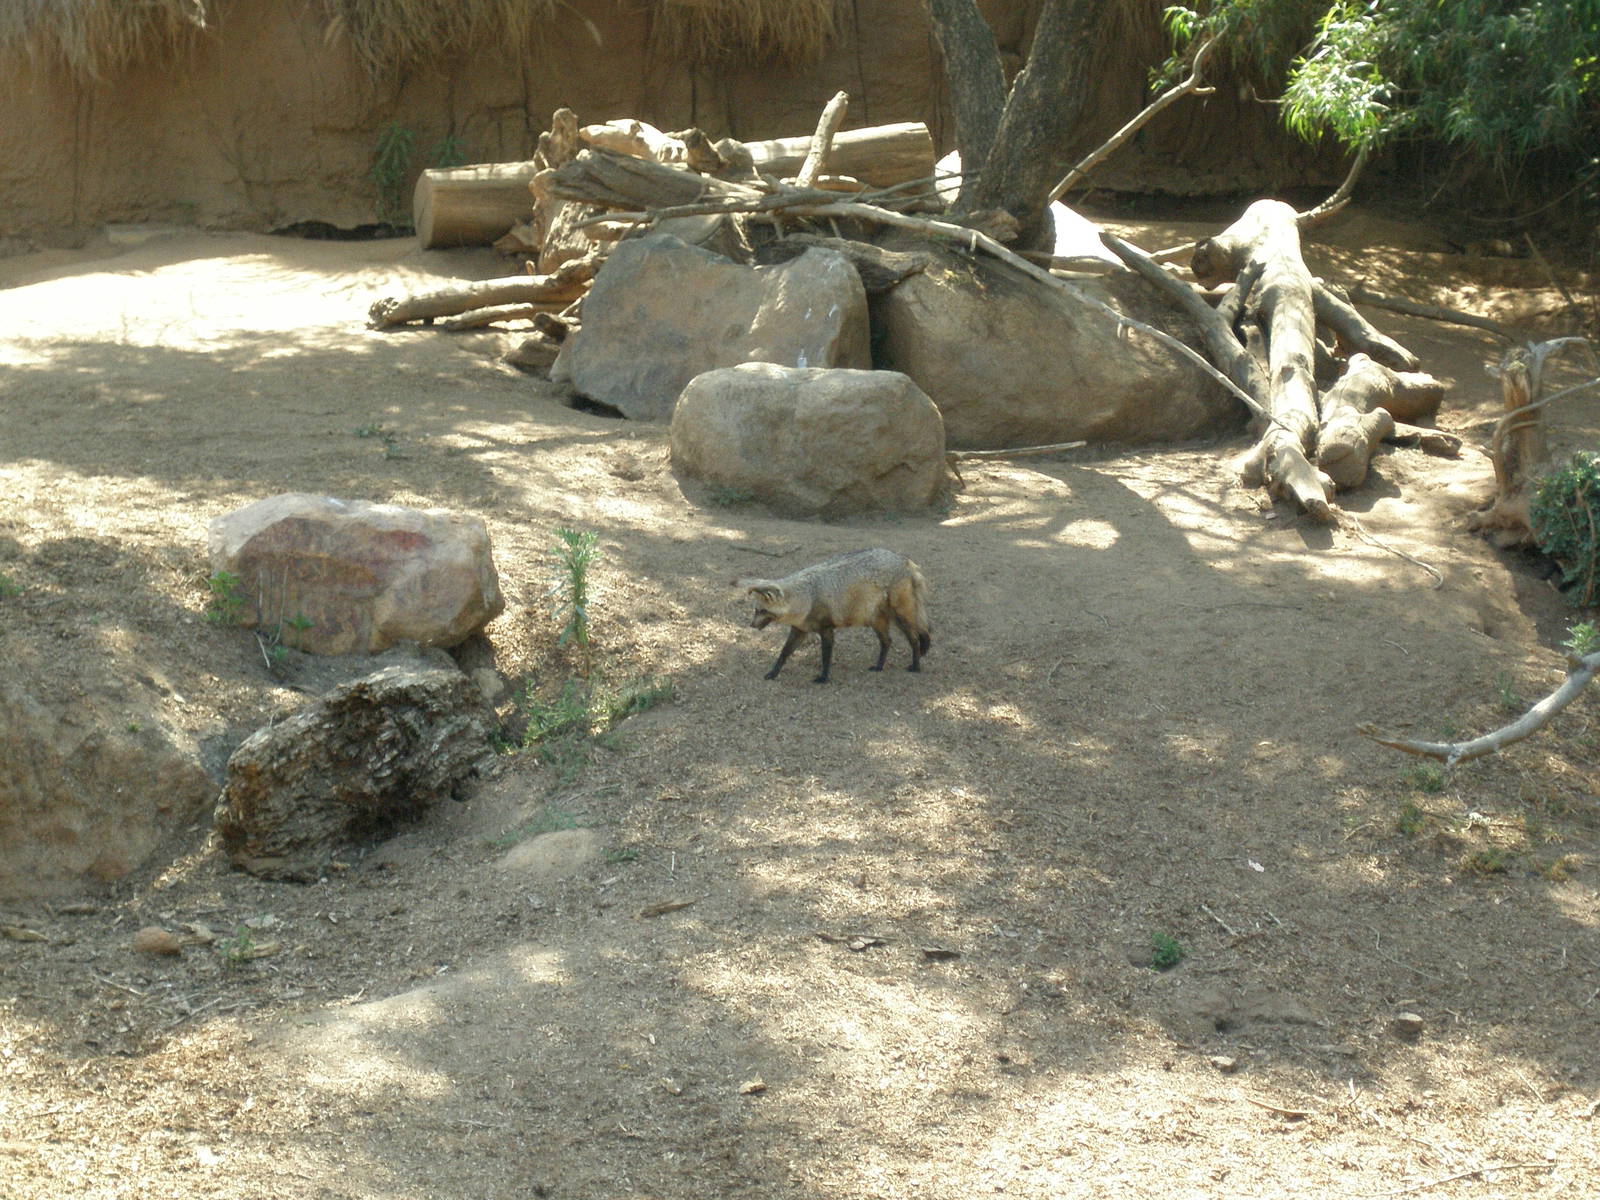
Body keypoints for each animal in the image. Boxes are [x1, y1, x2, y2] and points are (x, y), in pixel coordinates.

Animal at [738, 548, 931, 684]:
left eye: (762, 611)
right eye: (756, 610)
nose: (751, 625)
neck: (808, 596)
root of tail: (905, 560)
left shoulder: (826, 630)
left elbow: (825, 657)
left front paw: (823, 678)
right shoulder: (799, 630)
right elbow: (784, 653)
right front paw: (773, 673)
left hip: (902, 617)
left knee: (915, 639)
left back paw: (916, 666)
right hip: (877, 621)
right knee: (887, 642)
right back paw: (879, 667)